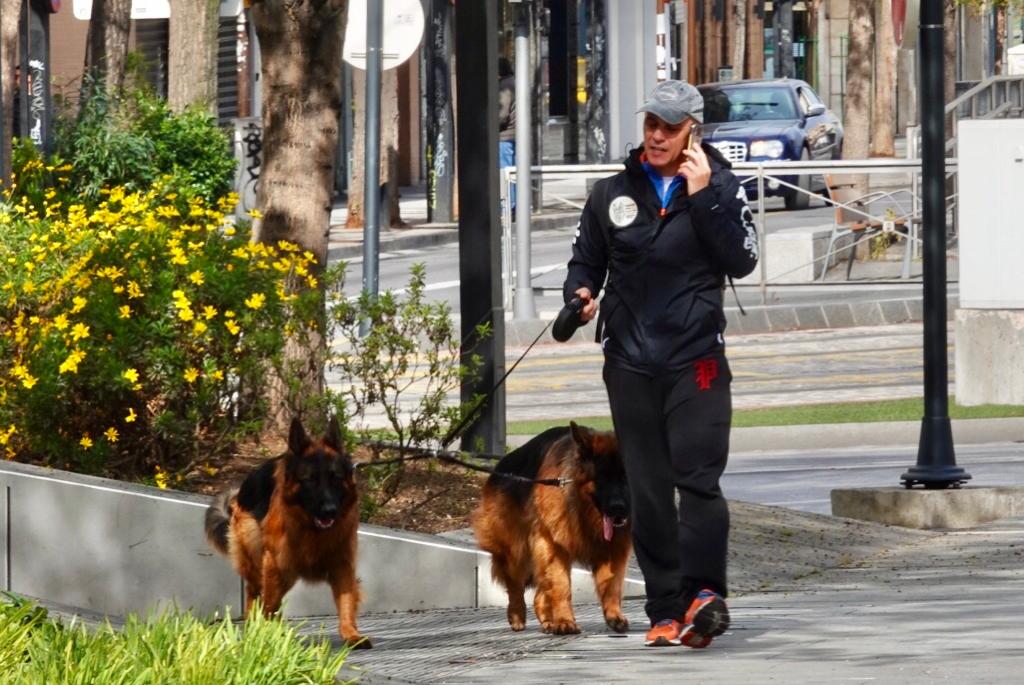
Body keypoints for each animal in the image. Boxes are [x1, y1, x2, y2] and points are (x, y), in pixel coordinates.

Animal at [204, 417, 372, 647]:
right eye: (310, 480)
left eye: (335, 478)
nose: (329, 510)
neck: (313, 531)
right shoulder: (276, 565)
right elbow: (269, 604)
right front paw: (264, 634)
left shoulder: (342, 564)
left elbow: (346, 601)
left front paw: (351, 633)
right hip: (258, 556)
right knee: (255, 593)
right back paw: (255, 625)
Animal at [473, 421, 630, 634]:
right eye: (602, 478)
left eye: (626, 478)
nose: (618, 508)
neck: (584, 510)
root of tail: (501, 465)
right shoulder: (553, 544)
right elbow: (561, 586)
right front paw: (564, 620)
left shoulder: (613, 548)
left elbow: (612, 586)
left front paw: (613, 615)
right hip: (516, 551)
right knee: (515, 586)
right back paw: (517, 616)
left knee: (539, 594)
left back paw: (548, 621)